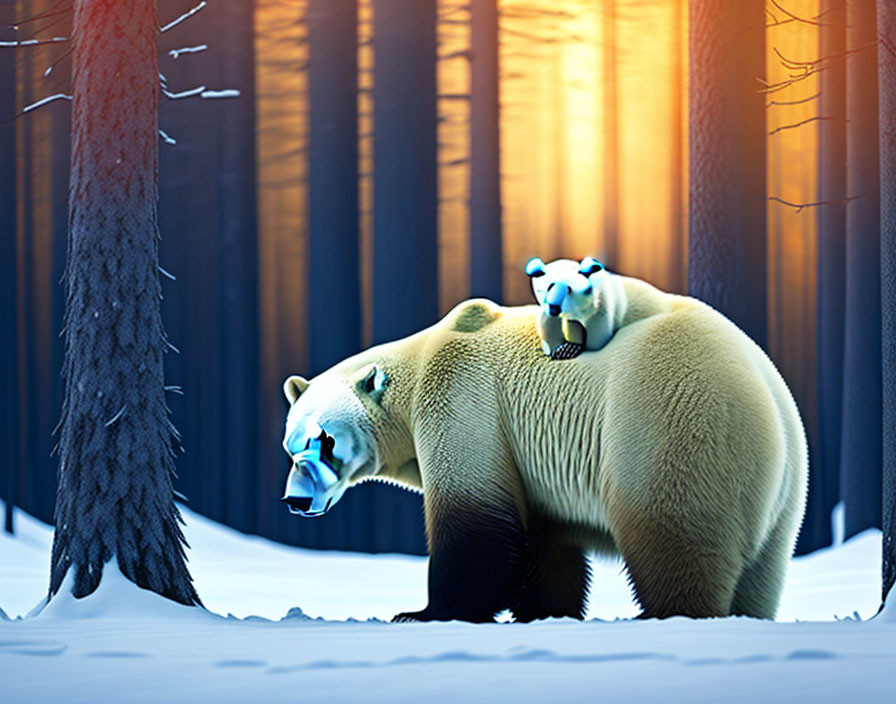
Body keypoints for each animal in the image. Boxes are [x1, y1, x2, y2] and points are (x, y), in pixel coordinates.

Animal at [282, 276, 812, 620]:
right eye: (290, 446)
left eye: (325, 440)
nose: (295, 500)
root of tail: (767, 395)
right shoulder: (531, 464)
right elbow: (543, 544)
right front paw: (547, 612)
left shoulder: (462, 399)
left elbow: (476, 523)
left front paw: (422, 612)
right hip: (785, 495)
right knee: (762, 572)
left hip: (665, 419)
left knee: (673, 533)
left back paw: (664, 614)